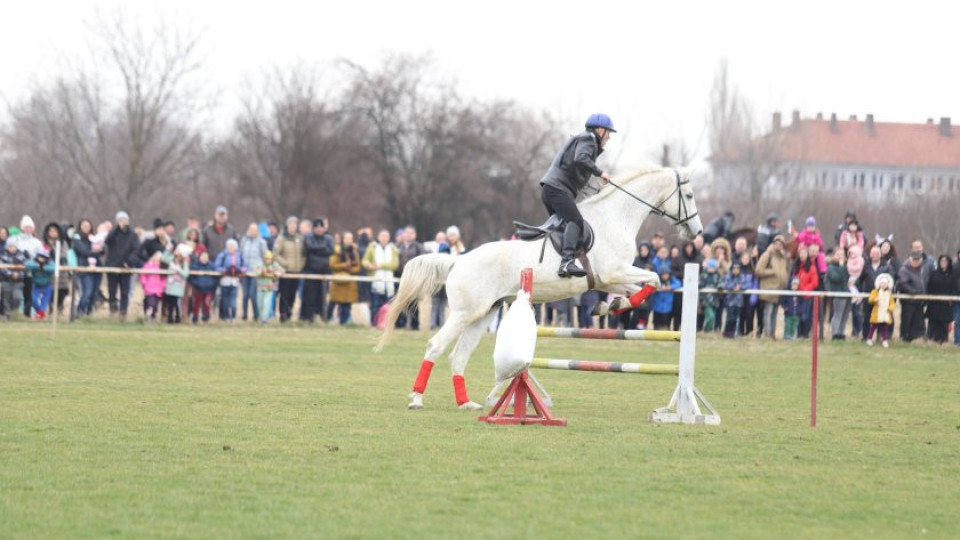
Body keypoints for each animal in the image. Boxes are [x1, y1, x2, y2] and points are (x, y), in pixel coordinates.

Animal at [376, 168, 704, 410]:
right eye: (688, 195)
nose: (697, 232)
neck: (616, 218)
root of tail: (459, 259)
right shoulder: (614, 272)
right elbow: (655, 278)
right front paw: (611, 305)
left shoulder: (609, 278)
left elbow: (646, 285)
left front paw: (609, 306)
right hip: (463, 313)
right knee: (436, 346)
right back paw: (417, 398)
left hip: (483, 314)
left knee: (459, 356)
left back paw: (466, 403)